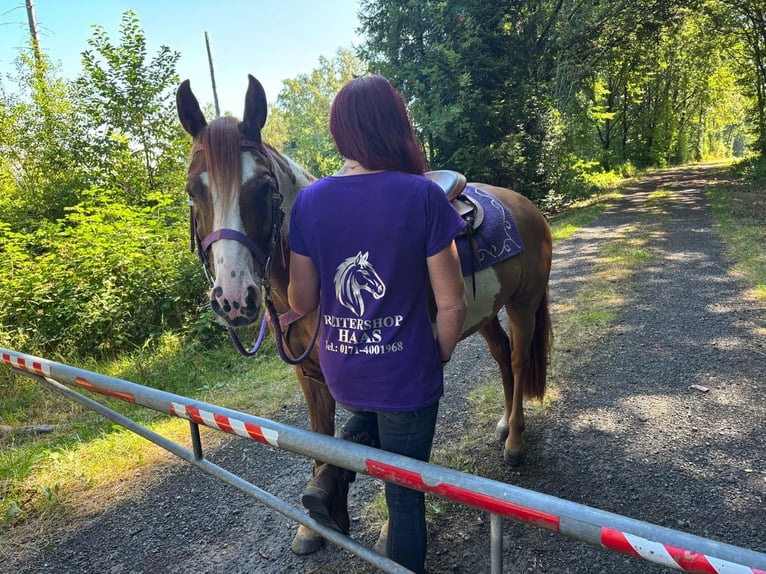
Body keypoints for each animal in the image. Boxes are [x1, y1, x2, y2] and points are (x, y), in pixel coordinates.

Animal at [176, 75, 553, 554]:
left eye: (261, 187)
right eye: (194, 190)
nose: (235, 297)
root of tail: (525, 205)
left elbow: (393, 454)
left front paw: (387, 525)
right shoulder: (311, 375)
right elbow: (322, 437)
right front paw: (318, 518)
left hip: (523, 304)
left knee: (520, 361)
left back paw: (516, 440)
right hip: (486, 313)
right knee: (503, 356)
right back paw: (504, 423)